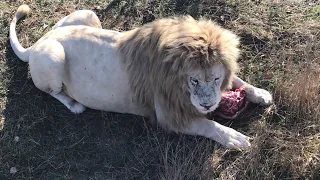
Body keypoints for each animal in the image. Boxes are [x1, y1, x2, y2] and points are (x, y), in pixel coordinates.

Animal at [8, 5, 272, 149]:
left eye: (216, 79)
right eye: (194, 80)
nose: (207, 105)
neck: (176, 80)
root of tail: (37, 43)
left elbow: (239, 81)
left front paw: (260, 93)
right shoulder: (168, 116)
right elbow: (208, 125)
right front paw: (234, 138)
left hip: (87, 16)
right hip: (53, 57)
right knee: (54, 92)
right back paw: (75, 105)